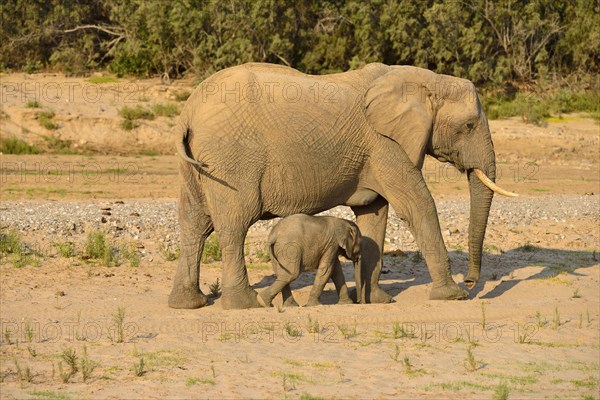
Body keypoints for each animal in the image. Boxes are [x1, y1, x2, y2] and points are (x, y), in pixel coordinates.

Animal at [169, 62, 516, 310]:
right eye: (468, 126)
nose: (471, 282)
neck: (426, 79)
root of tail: (188, 112)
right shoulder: (386, 145)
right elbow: (417, 205)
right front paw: (452, 296)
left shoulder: (376, 153)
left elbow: (374, 214)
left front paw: (377, 302)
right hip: (231, 161)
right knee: (234, 224)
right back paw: (243, 305)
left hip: (198, 164)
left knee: (194, 224)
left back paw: (188, 304)